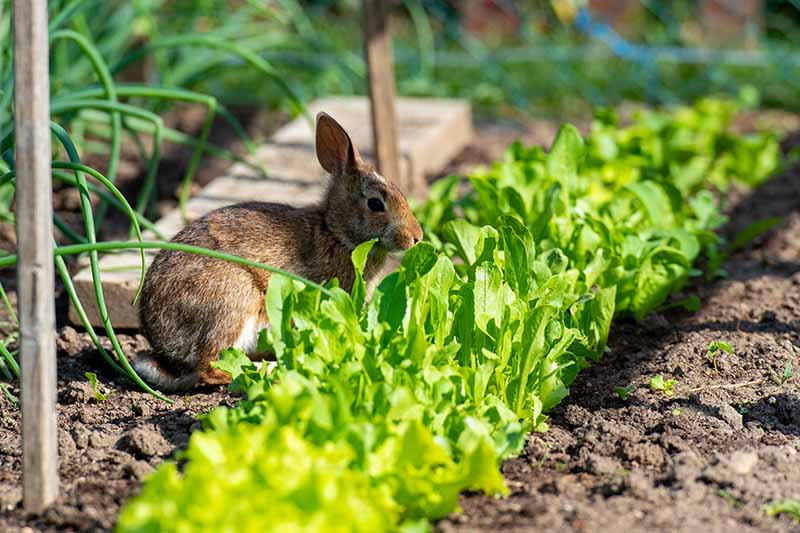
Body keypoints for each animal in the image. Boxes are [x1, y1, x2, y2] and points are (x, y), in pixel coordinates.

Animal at [133, 112, 424, 388]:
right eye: (375, 204)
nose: (416, 237)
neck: (336, 233)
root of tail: (164, 347)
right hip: (234, 299)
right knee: (210, 367)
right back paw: (267, 371)